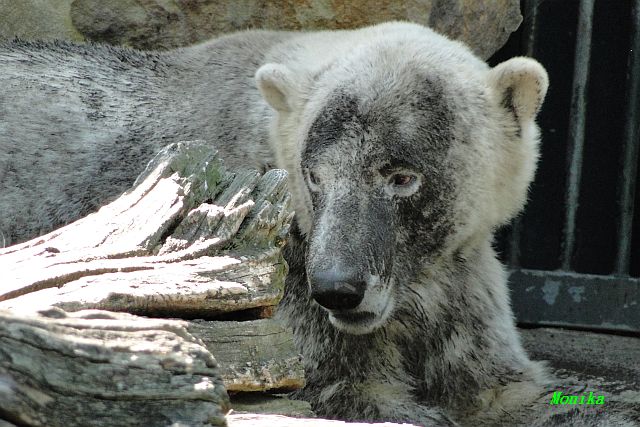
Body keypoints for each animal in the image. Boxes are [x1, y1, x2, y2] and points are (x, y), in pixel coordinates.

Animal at [1, 22, 552, 425]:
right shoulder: (278, 269)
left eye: (401, 176)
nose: (338, 289)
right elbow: (339, 383)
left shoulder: (463, 274)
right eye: (314, 175)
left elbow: (503, 380)